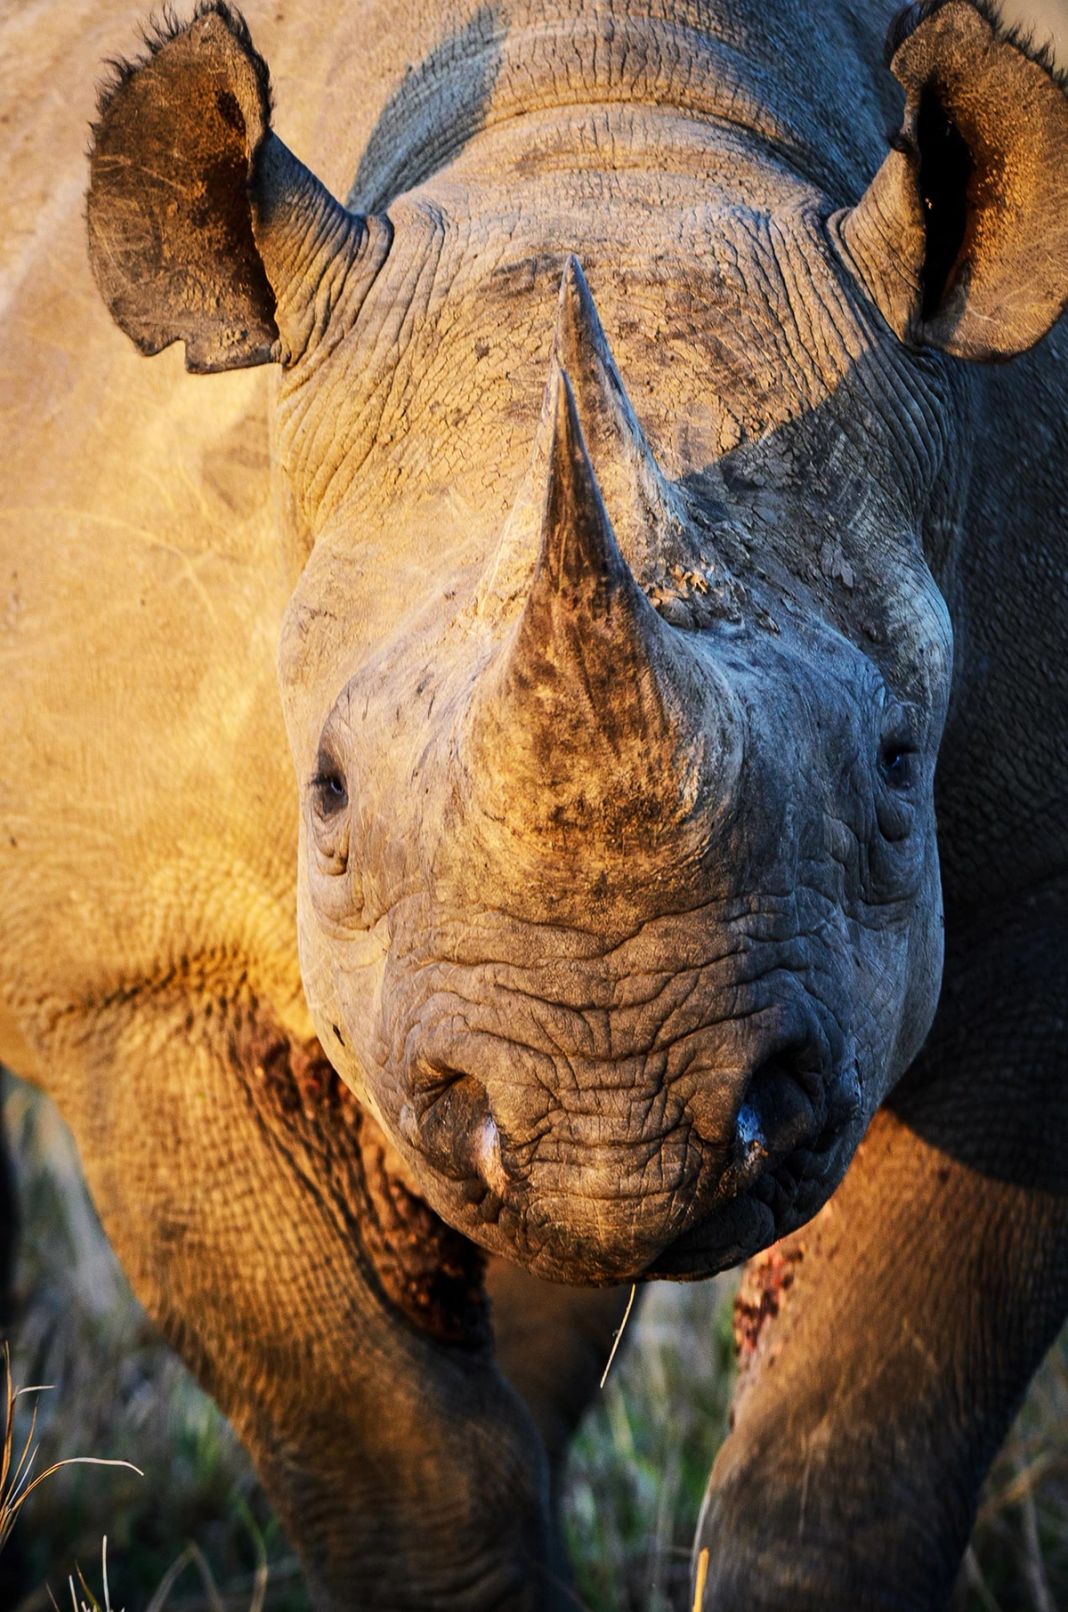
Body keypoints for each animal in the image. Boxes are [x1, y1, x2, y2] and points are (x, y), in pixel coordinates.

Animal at [2, 0, 1066, 1604]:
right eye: (324, 793)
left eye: (898, 766)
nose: (613, 1137)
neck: (612, 115)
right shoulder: (135, 974)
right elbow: (399, 1463)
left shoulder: (1038, 913)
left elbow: (853, 1444)